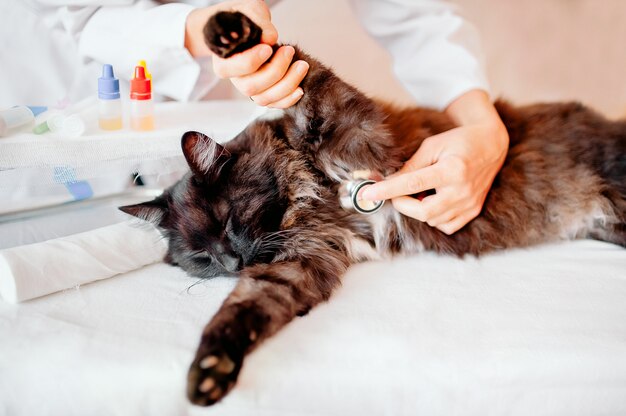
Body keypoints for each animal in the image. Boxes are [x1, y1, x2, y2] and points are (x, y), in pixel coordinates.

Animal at [119, 10, 620, 406]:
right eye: (200, 258)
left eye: (227, 221)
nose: (230, 262)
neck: (307, 193)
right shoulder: (298, 265)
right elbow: (240, 311)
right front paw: (210, 371)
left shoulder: (345, 119)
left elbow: (299, 71)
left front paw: (228, 31)